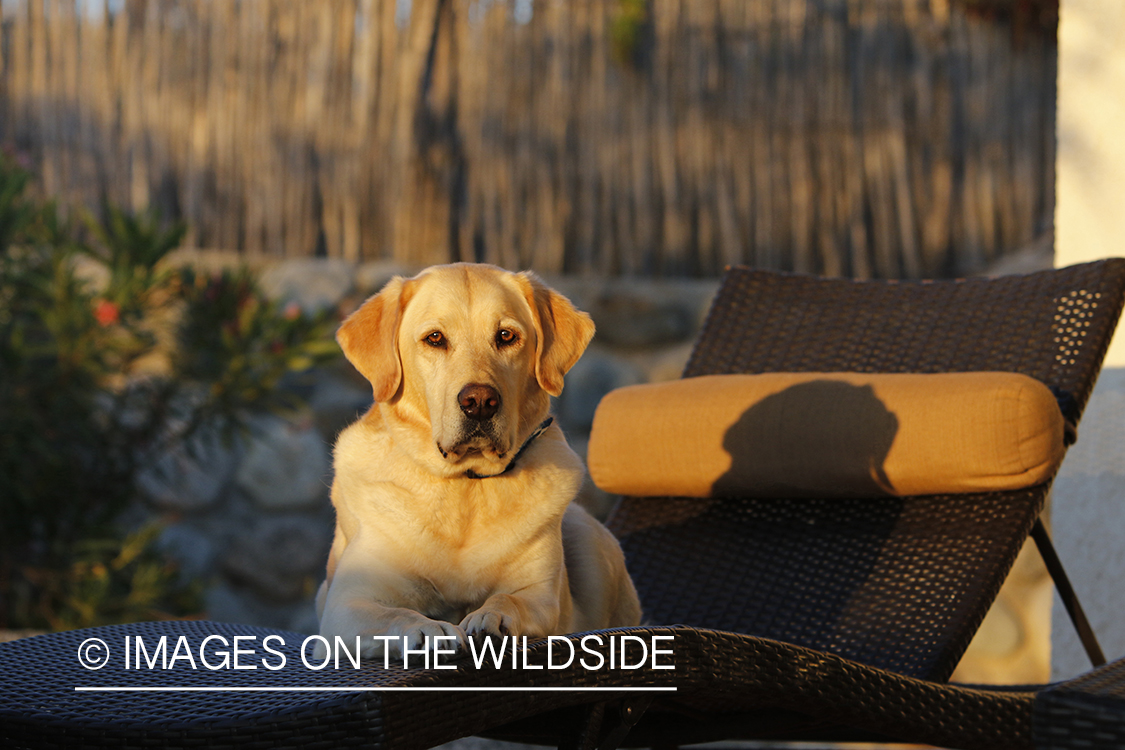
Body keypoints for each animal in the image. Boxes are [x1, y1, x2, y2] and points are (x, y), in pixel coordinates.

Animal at [317, 260, 643, 661]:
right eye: (435, 338)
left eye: (506, 336)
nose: (480, 402)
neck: (465, 485)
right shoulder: (347, 606)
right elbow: (398, 614)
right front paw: (430, 629)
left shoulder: (539, 596)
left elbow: (507, 599)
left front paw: (492, 618)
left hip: (587, 533)